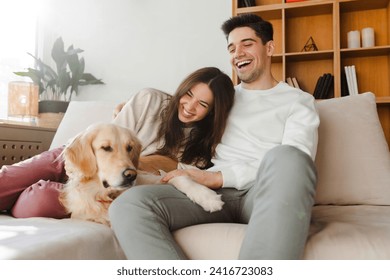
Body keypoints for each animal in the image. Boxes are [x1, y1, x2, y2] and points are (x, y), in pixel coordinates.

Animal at [61, 122, 225, 225]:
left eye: (129, 148)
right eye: (106, 148)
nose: (131, 175)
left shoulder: (156, 177)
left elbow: (178, 178)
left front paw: (207, 197)